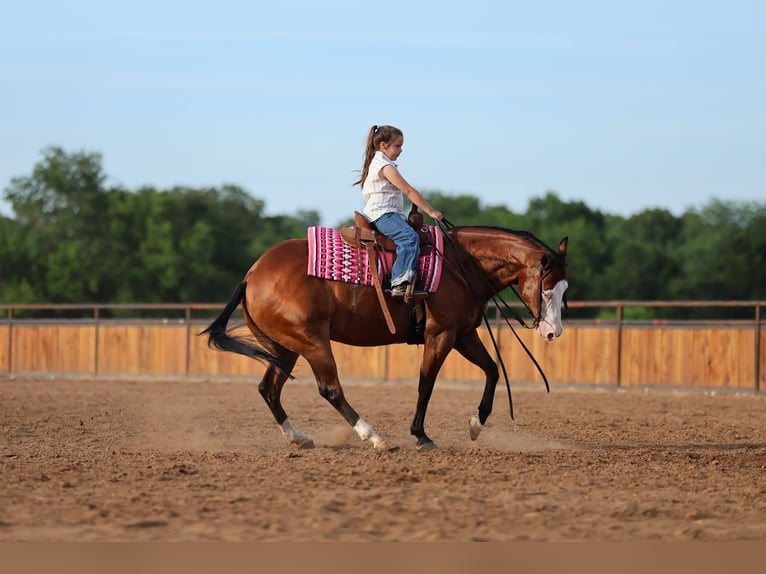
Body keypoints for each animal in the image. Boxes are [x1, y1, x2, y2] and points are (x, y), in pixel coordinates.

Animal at [202, 222, 568, 451]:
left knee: (269, 389)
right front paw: (421, 436)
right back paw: (374, 437)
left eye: (566, 289)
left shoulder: (463, 334)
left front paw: (476, 423)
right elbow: (426, 384)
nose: (553, 332)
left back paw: (299, 438)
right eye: (548, 290)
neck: (461, 264)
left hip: (284, 348)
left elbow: (492, 370)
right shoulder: (441, 334)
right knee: (330, 389)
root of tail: (252, 274)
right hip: (311, 341)